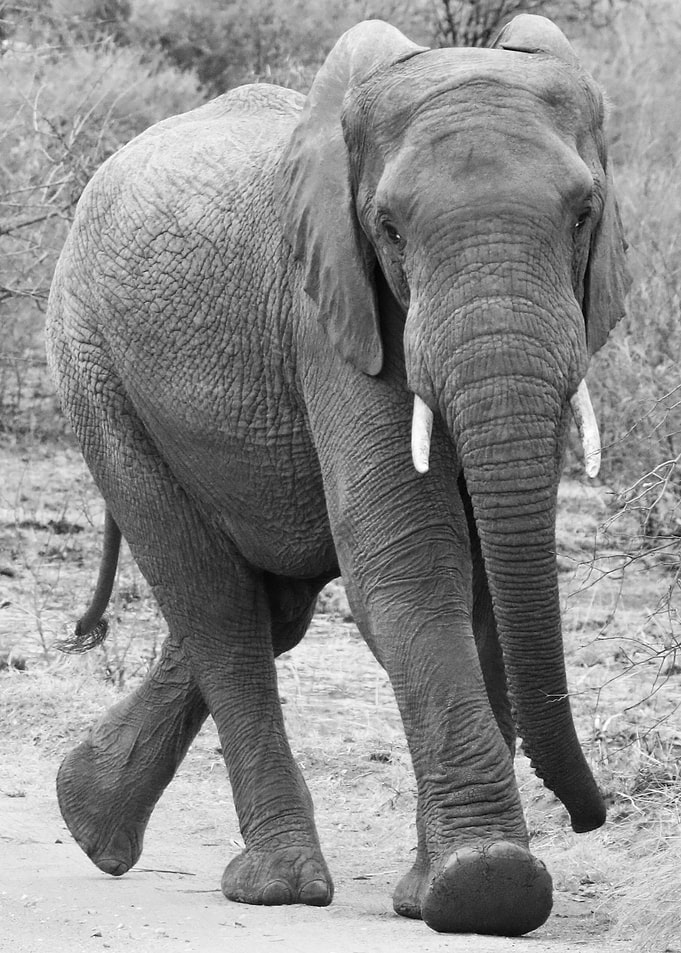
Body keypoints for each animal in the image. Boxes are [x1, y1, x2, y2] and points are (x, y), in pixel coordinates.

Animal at [45, 15, 630, 937]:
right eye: (387, 227)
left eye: (584, 213)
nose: (590, 815)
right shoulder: (329, 313)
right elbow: (409, 561)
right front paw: (487, 885)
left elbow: (482, 582)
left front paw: (431, 893)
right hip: (92, 367)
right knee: (218, 607)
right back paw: (275, 885)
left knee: (269, 603)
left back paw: (89, 819)